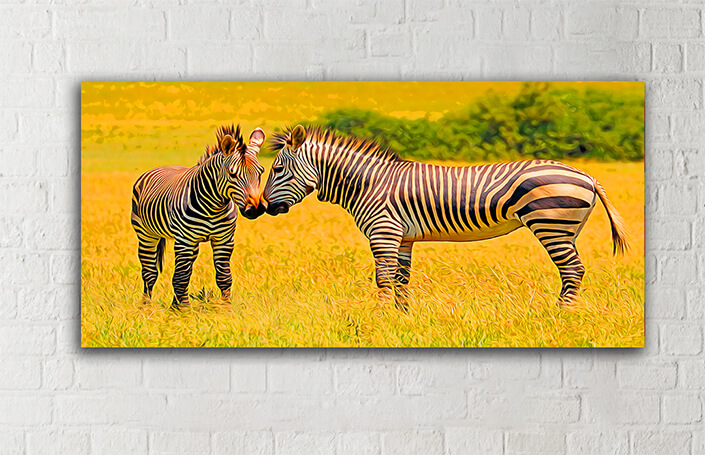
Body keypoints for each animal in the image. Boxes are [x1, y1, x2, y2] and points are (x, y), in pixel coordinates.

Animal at [131, 125, 266, 310]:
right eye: (232, 174)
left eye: (261, 172)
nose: (255, 210)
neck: (213, 207)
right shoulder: (184, 241)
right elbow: (181, 278)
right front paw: (184, 311)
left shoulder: (224, 240)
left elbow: (224, 277)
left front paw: (226, 309)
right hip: (146, 234)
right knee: (150, 272)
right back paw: (145, 307)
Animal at [261, 125, 628, 311]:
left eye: (277, 169)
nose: (262, 207)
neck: (368, 183)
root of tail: (586, 174)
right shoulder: (403, 238)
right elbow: (401, 280)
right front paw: (402, 319)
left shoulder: (383, 232)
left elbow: (383, 278)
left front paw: (379, 318)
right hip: (568, 230)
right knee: (573, 271)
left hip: (551, 225)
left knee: (573, 271)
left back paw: (561, 317)